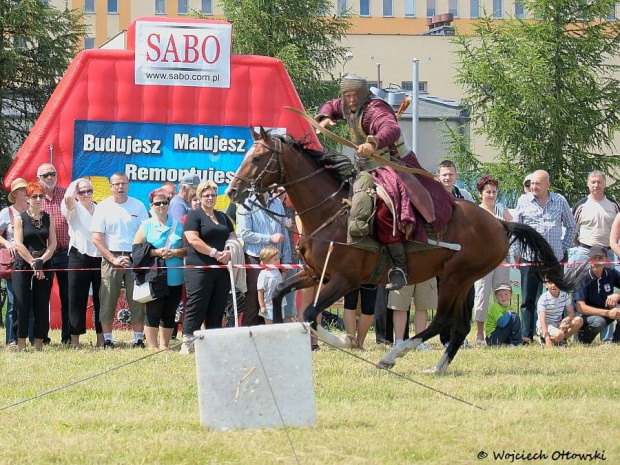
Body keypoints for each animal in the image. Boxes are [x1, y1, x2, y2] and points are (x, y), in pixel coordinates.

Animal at [228, 130, 580, 374]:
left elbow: (310, 314)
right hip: (461, 281)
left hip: (455, 278)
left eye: (257, 158)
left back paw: (393, 356)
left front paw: (344, 341)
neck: (330, 212)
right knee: (459, 327)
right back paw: (436, 367)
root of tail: (500, 224)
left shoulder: (344, 281)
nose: (233, 191)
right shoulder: (315, 274)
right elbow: (278, 296)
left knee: (442, 322)